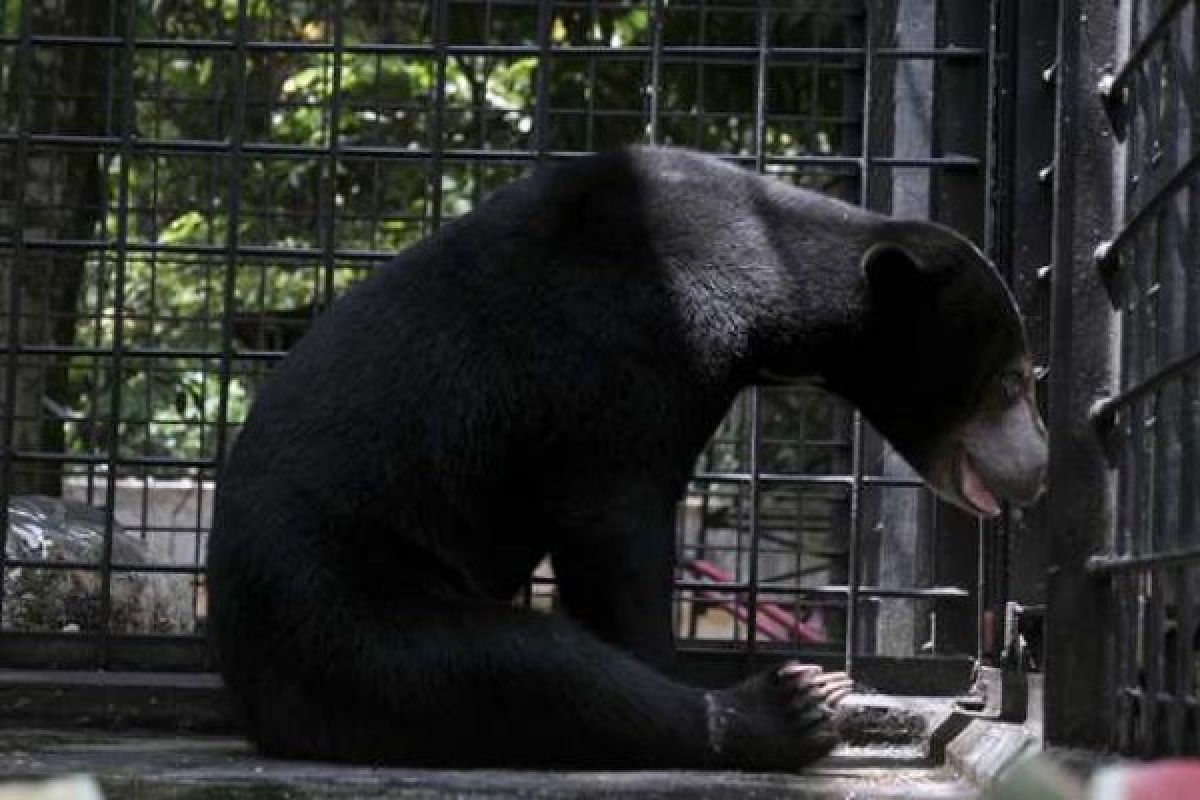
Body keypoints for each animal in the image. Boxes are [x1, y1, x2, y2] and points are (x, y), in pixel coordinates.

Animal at [208, 145, 1051, 767]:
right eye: (1009, 381)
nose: (1039, 470)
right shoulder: (625, 345)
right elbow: (612, 522)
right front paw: (662, 651)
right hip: (345, 607)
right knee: (529, 671)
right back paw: (793, 705)